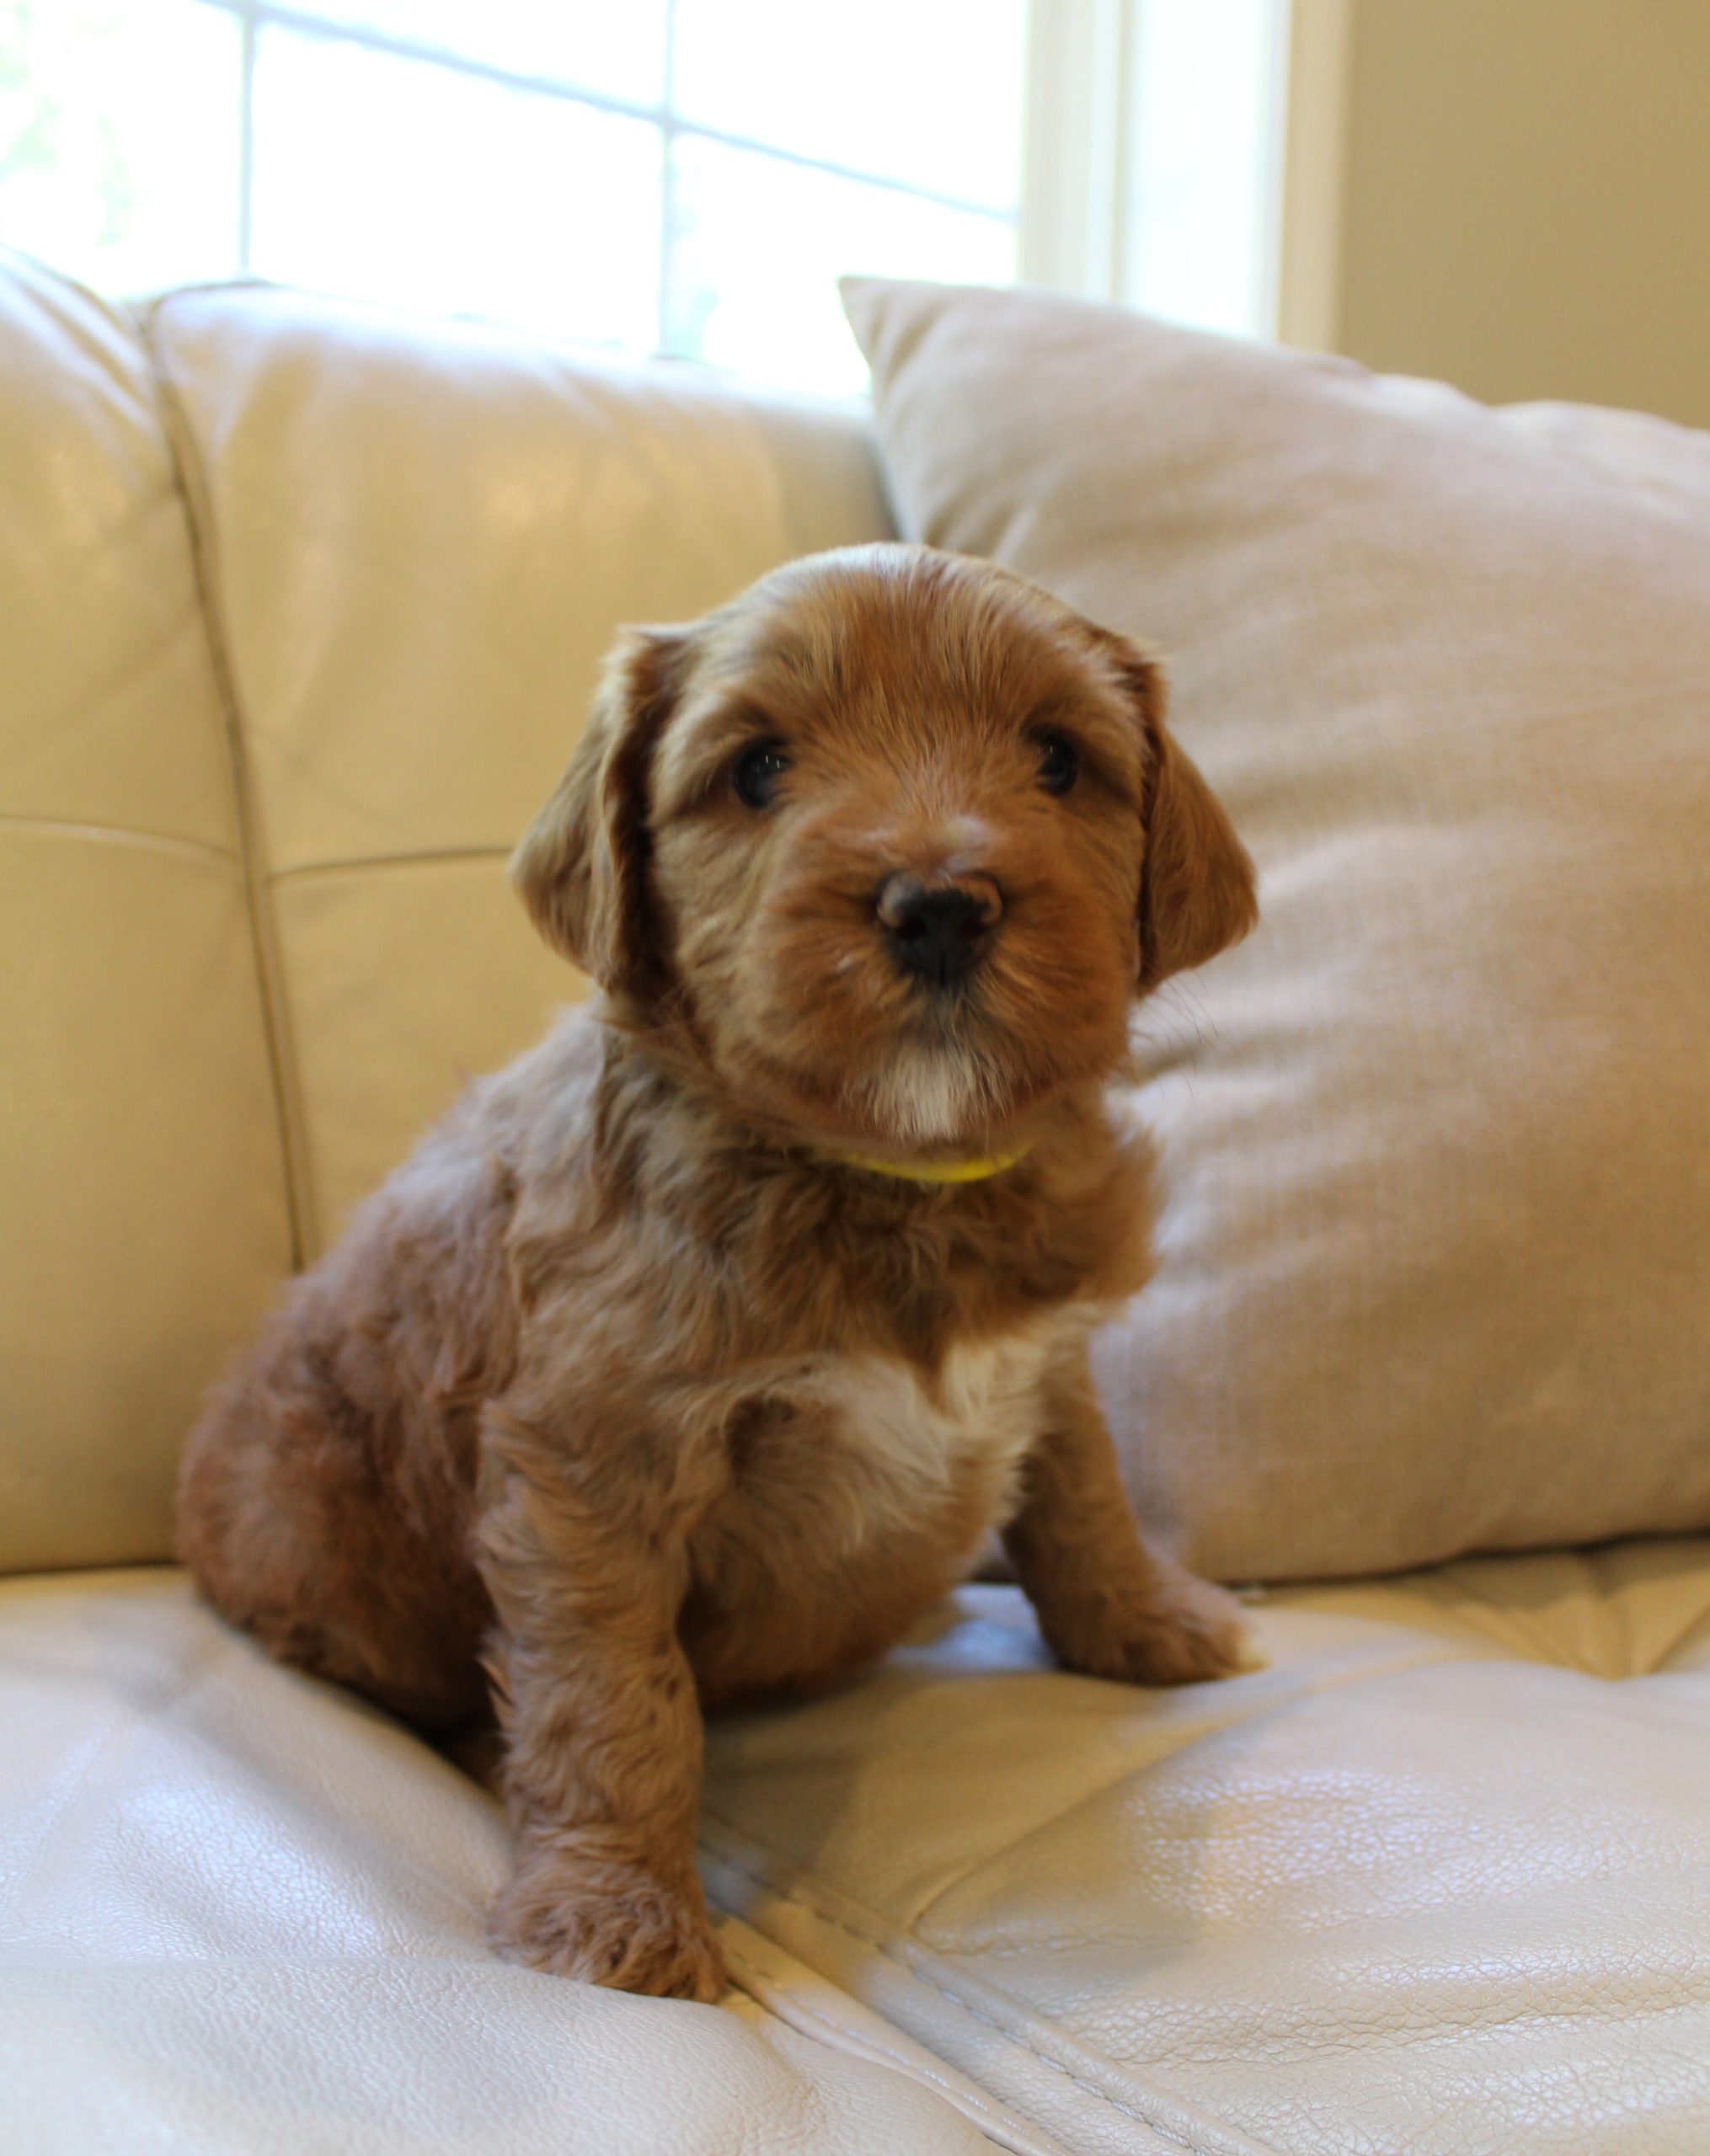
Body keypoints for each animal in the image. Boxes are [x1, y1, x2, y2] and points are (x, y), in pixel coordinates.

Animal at [178, 543, 1260, 2003]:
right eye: (756, 769)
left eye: (1055, 757)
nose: (939, 905)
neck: (889, 1176)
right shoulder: (593, 1460)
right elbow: (616, 1698)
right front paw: (612, 1916)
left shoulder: (1047, 1355)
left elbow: (1080, 1494)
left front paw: (1150, 1623)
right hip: (307, 1523)